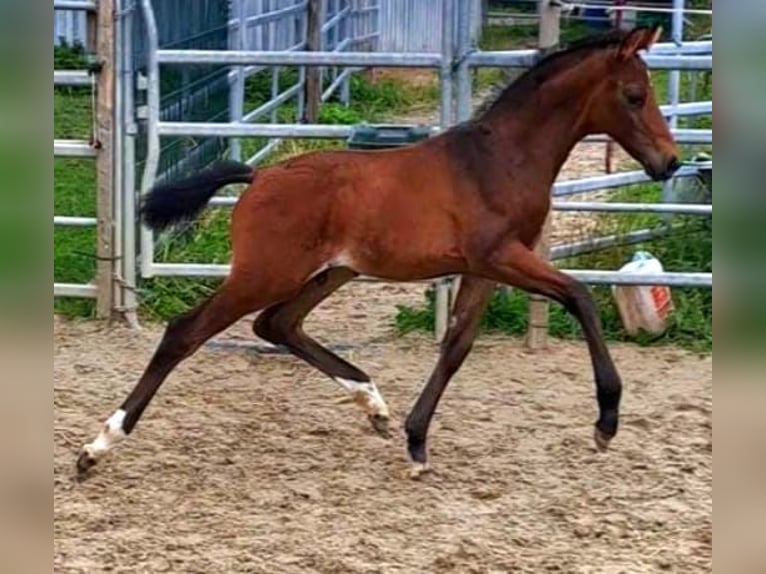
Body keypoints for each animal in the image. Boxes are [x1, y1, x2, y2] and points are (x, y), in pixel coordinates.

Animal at [78, 27, 680, 476]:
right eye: (634, 96)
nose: (669, 162)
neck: (499, 159)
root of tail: (259, 175)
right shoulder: (500, 256)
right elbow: (579, 296)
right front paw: (606, 423)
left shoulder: (484, 268)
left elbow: (457, 346)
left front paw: (415, 441)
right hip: (266, 272)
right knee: (187, 331)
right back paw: (98, 446)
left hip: (329, 273)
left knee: (278, 325)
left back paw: (374, 404)